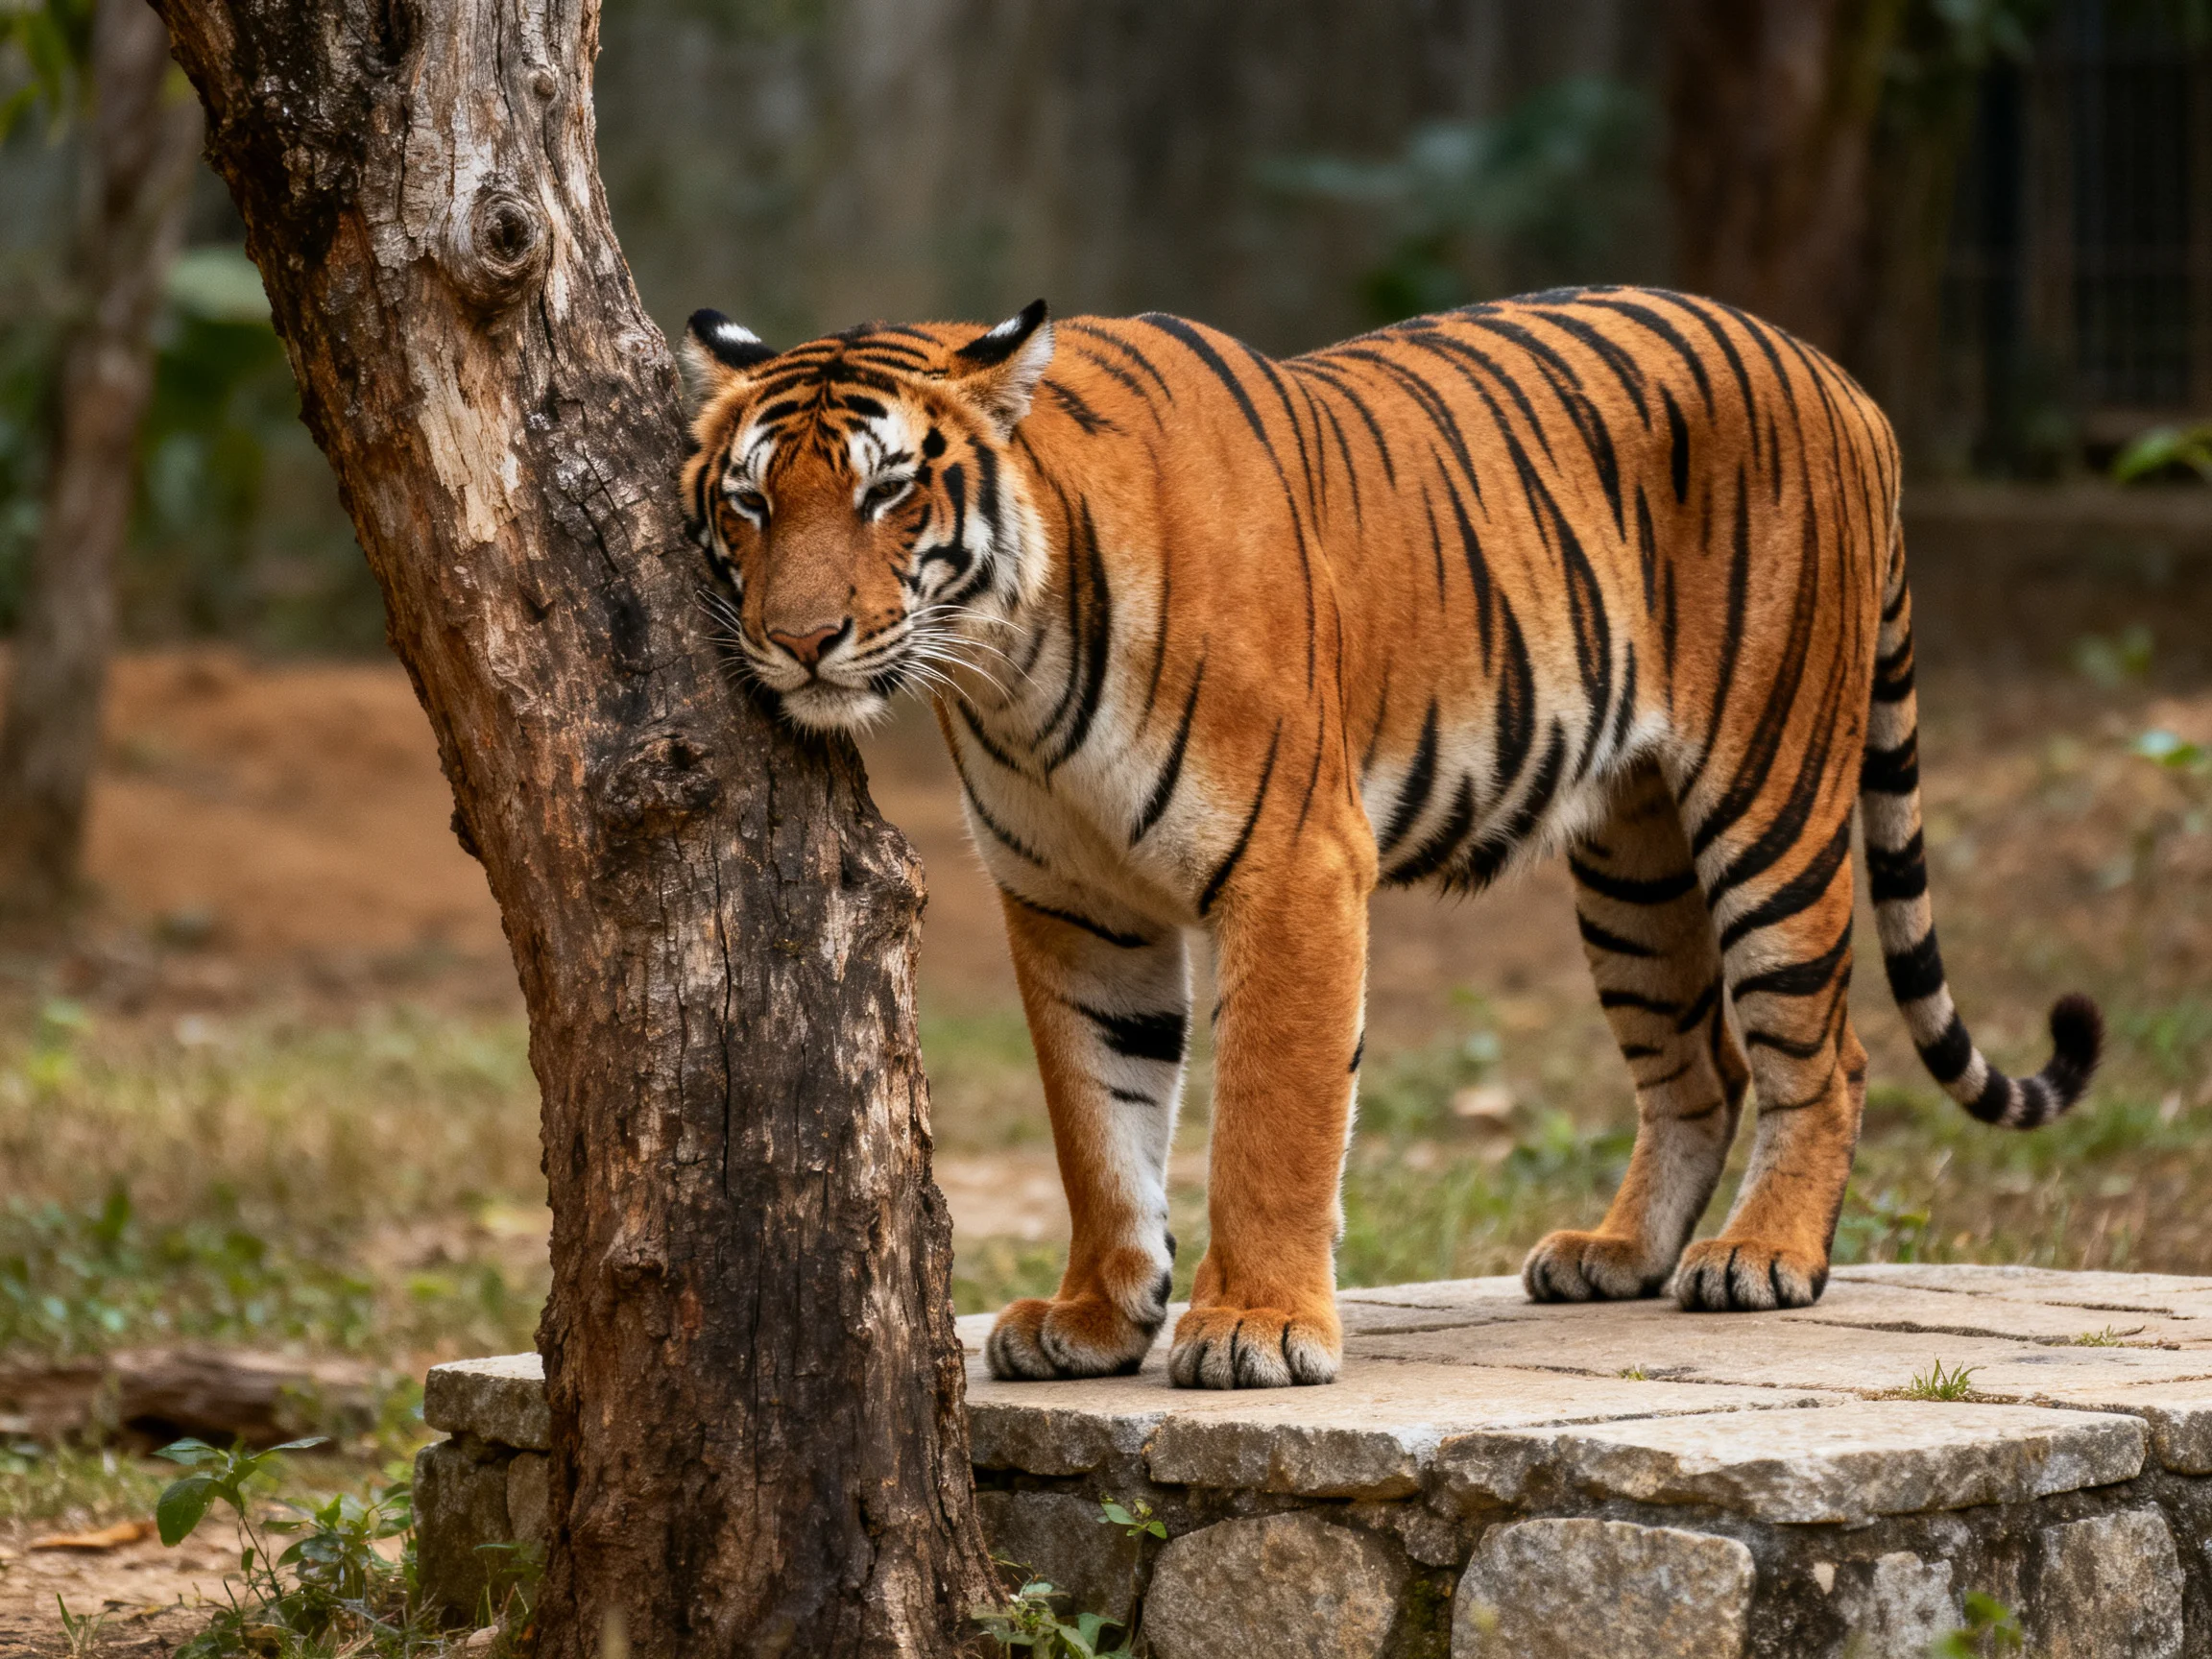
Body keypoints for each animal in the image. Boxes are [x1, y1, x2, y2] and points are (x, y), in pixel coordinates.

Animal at [677, 287, 2102, 1391]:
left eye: (889, 495)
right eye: (750, 505)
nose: (800, 642)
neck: (1007, 667)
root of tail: (1841, 381)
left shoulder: (1290, 865)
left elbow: (1269, 1117)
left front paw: (1252, 1330)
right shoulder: (1074, 905)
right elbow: (1099, 1119)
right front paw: (1095, 1318)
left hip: (1770, 792)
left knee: (1824, 1049)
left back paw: (1765, 1257)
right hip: (1631, 860)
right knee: (1700, 1067)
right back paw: (1618, 1255)